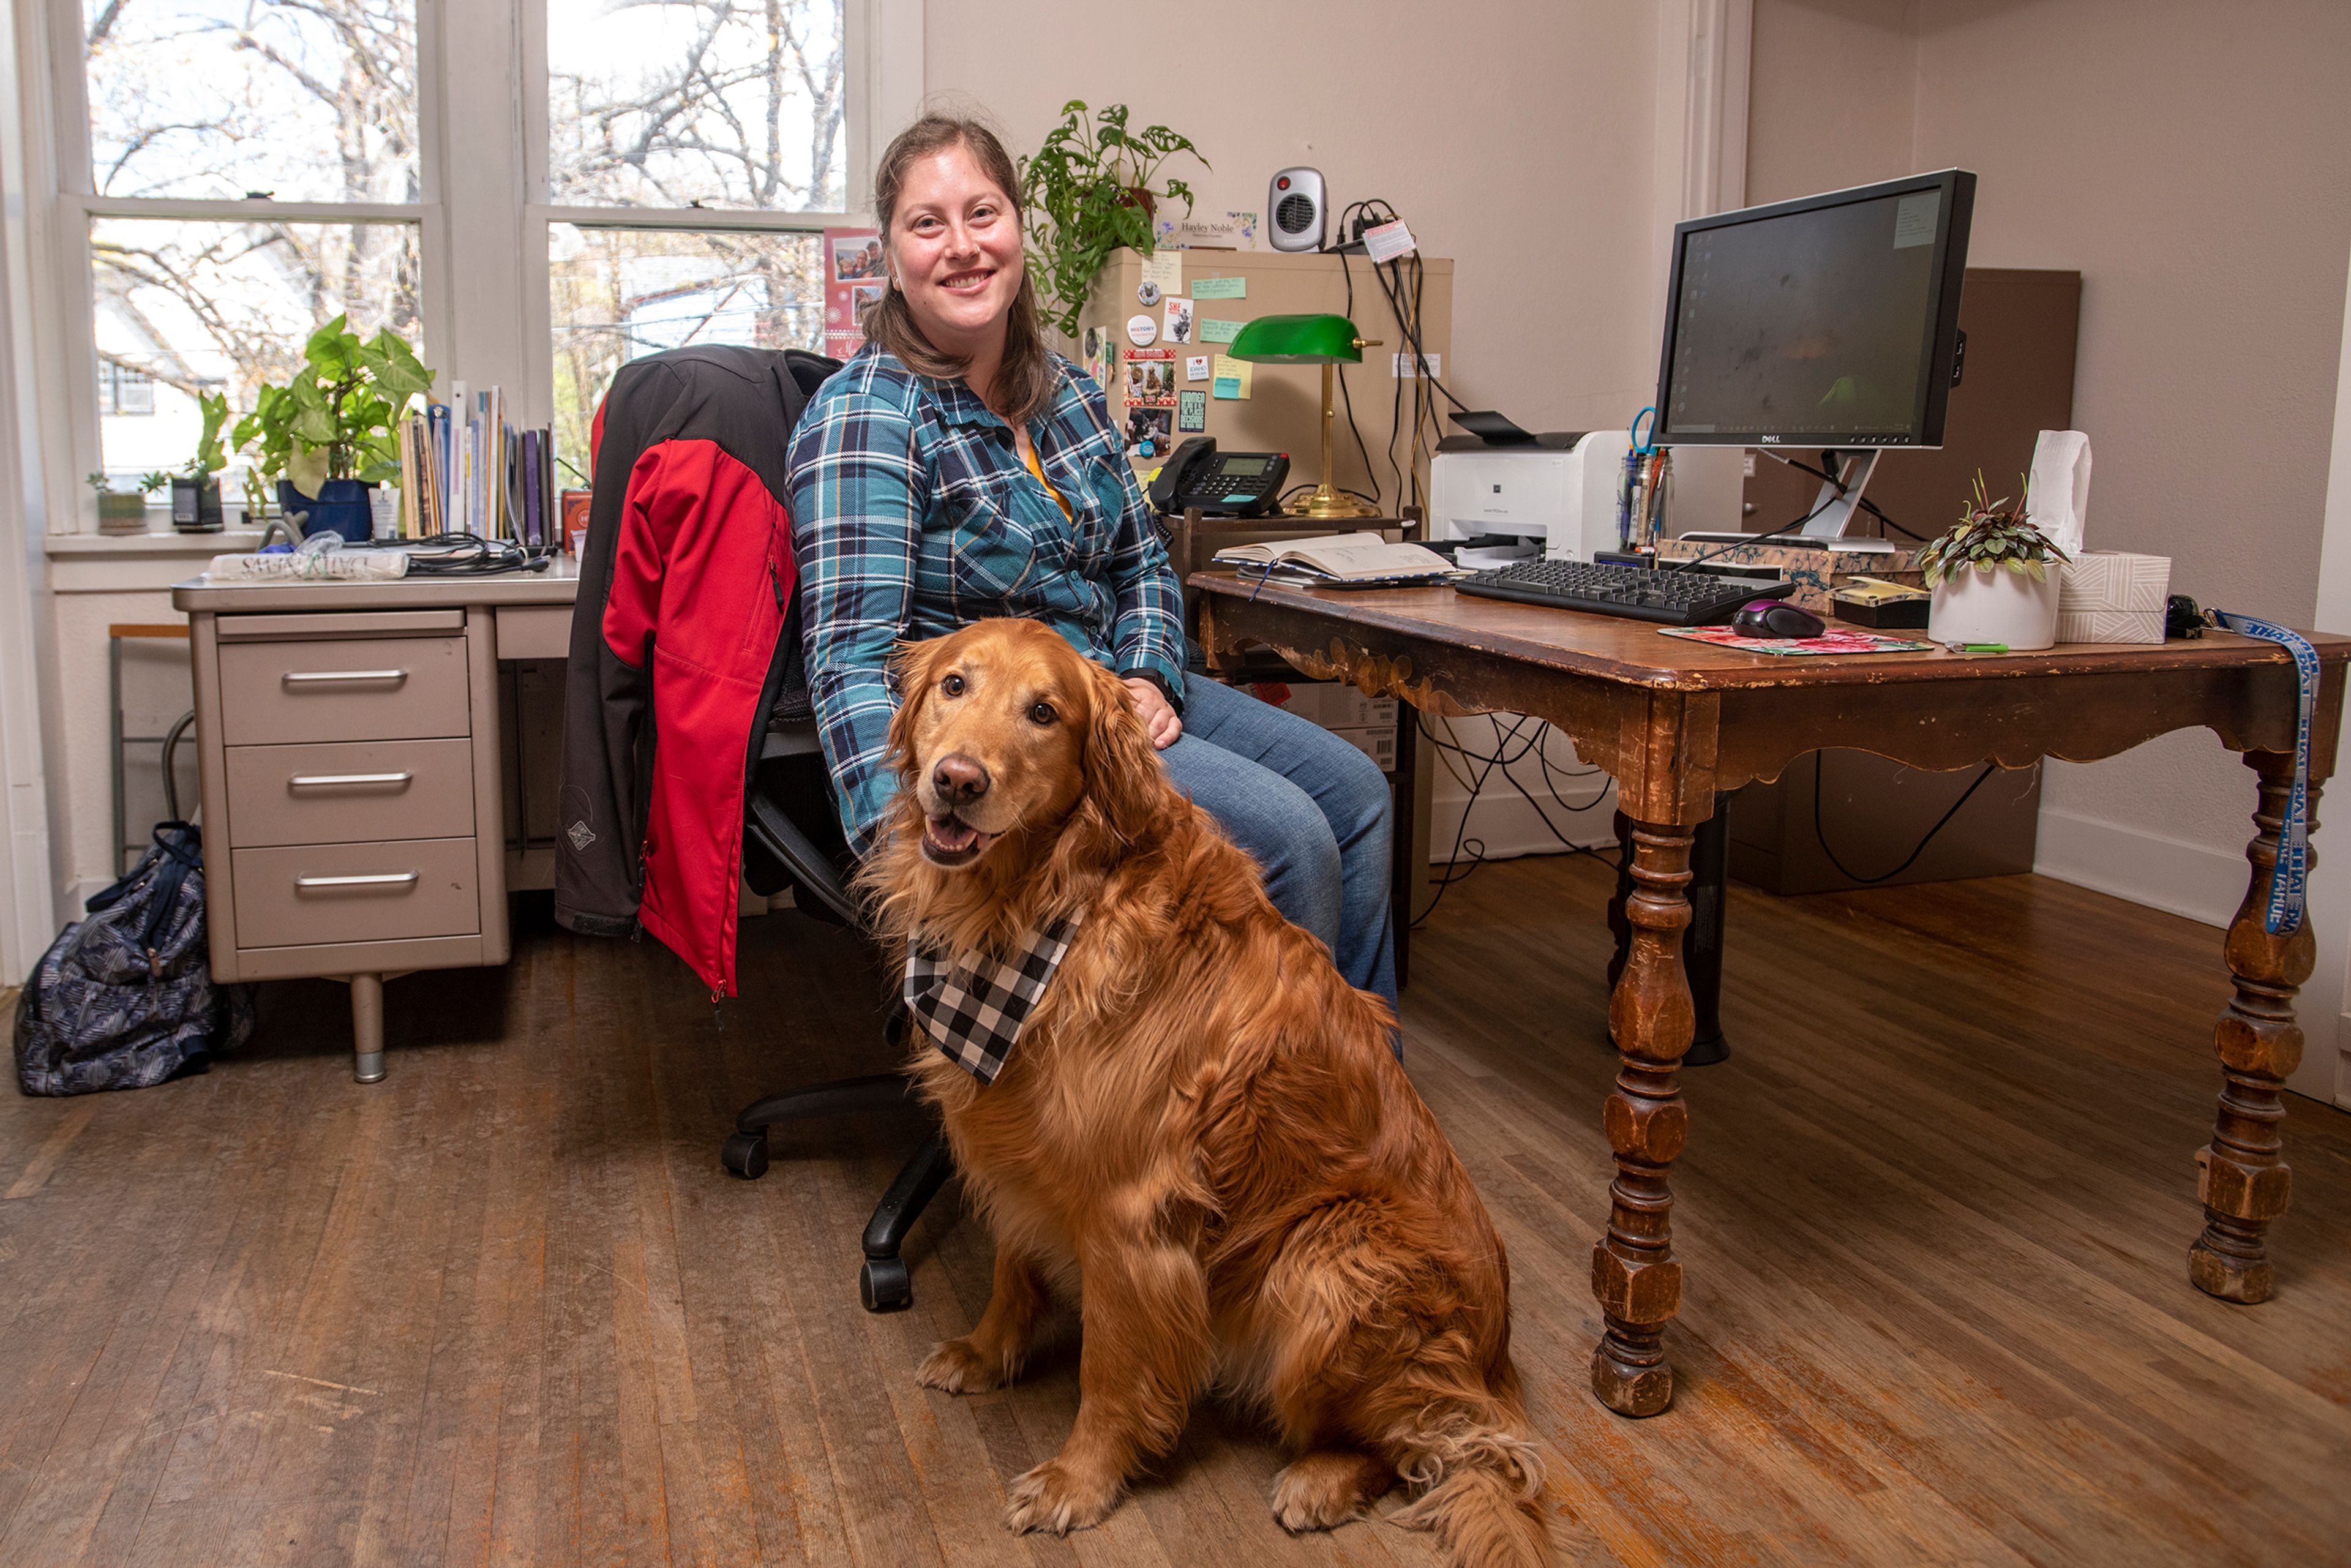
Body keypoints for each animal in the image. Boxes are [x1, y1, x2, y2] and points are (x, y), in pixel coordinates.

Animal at [855, 620, 1551, 1561]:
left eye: (1044, 712)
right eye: (955, 685)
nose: (958, 781)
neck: (1045, 902)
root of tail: (1496, 1357)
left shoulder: (1129, 1212)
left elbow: (1110, 1370)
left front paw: (1081, 1480)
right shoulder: (1022, 1150)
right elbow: (1011, 1268)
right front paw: (985, 1352)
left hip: (1328, 1259)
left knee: (1431, 1445)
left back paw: (1320, 1480)